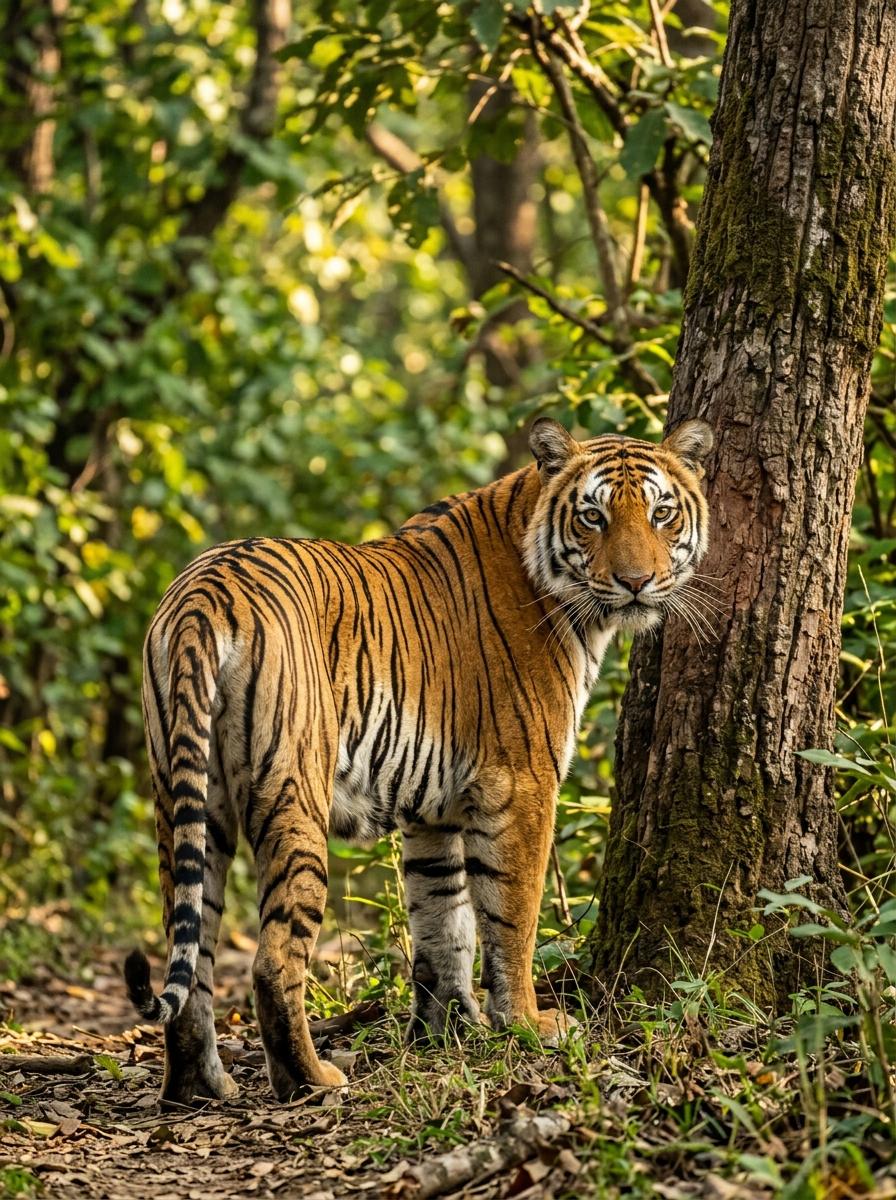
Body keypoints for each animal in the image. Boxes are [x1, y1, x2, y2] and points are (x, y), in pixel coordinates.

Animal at [124, 416, 713, 1104]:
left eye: (661, 513)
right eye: (593, 516)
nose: (636, 582)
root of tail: (203, 592)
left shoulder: (436, 808)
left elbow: (443, 920)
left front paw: (448, 1030)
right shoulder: (522, 784)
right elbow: (512, 916)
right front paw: (528, 1025)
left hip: (188, 795)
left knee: (192, 940)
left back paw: (198, 1086)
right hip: (294, 792)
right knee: (273, 958)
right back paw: (312, 1080)